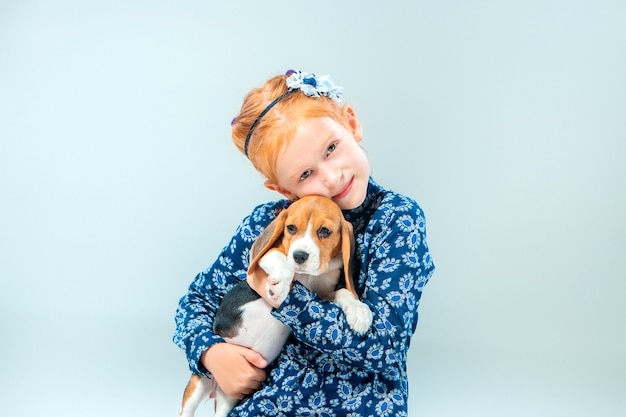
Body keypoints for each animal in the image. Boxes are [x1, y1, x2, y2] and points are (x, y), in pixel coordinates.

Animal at [178, 195, 372, 416]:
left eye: (325, 231)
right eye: (291, 228)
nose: (299, 256)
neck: (309, 276)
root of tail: (216, 388)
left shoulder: (323, 295)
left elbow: (344, 292)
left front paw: (360, 312)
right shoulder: (269, 256)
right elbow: (282, 261)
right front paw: (280, 287)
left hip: (228, 398)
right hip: (198, 383)